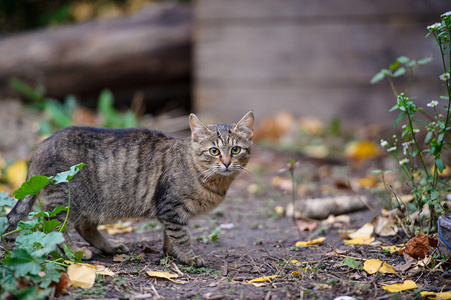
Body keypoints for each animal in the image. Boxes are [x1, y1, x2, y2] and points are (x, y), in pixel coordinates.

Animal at [6, 111, 254, 266]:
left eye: (235, 150)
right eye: (214, 151)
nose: (226, 163)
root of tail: (38, 150)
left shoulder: (169, 211)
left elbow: (170, 235)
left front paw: (171, 253)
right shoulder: (171, 207)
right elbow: (181, 235)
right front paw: (188, 257)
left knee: (84, 227)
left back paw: (111, 247)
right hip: (66, 201)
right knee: (53, 228)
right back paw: (74, 252)